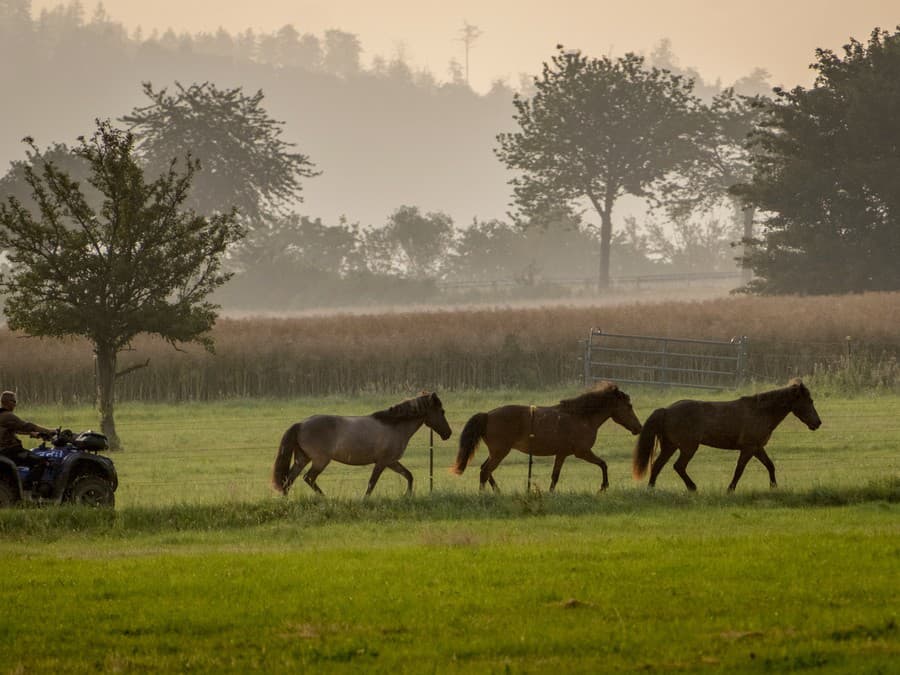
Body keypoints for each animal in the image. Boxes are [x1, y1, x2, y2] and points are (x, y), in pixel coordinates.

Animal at [268, 394, 450, 500]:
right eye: (442, 411)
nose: (448, 433)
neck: (394, 425)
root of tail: (301, 424)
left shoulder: (392, 462)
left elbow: (409, 475)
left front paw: (407, 496)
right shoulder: (382, 462)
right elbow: (371, 483)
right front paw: (365, 500)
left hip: (302, 459)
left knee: (288, 480)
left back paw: (286, 501)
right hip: (320, 460)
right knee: (308, 478)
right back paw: (326, 499)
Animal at [450, 386, 640, 492]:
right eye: (629, 406)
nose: (638, 427)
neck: (581, 417)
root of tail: (487, 415)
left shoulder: (562, 454)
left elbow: (555, 476)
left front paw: (550, 493)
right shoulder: (583, 452)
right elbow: (603, 464)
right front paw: (603, 486)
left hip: (497, 453)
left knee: (485, 470)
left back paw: (498, 492)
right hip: (500, 452)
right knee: (485, 471)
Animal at [632, 380, 824, 492]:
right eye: (809, 401)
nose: (818, 423)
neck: (760, 412)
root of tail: (666, 410)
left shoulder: (757, 448)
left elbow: (770, 465)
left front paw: (773, 487)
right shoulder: (748, 448)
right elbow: (739, 469)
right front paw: (730, 489)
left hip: (670, 446)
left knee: (658, 465)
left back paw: (651, 489)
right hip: (688, 447)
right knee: (678, 466)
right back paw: (692, 487)